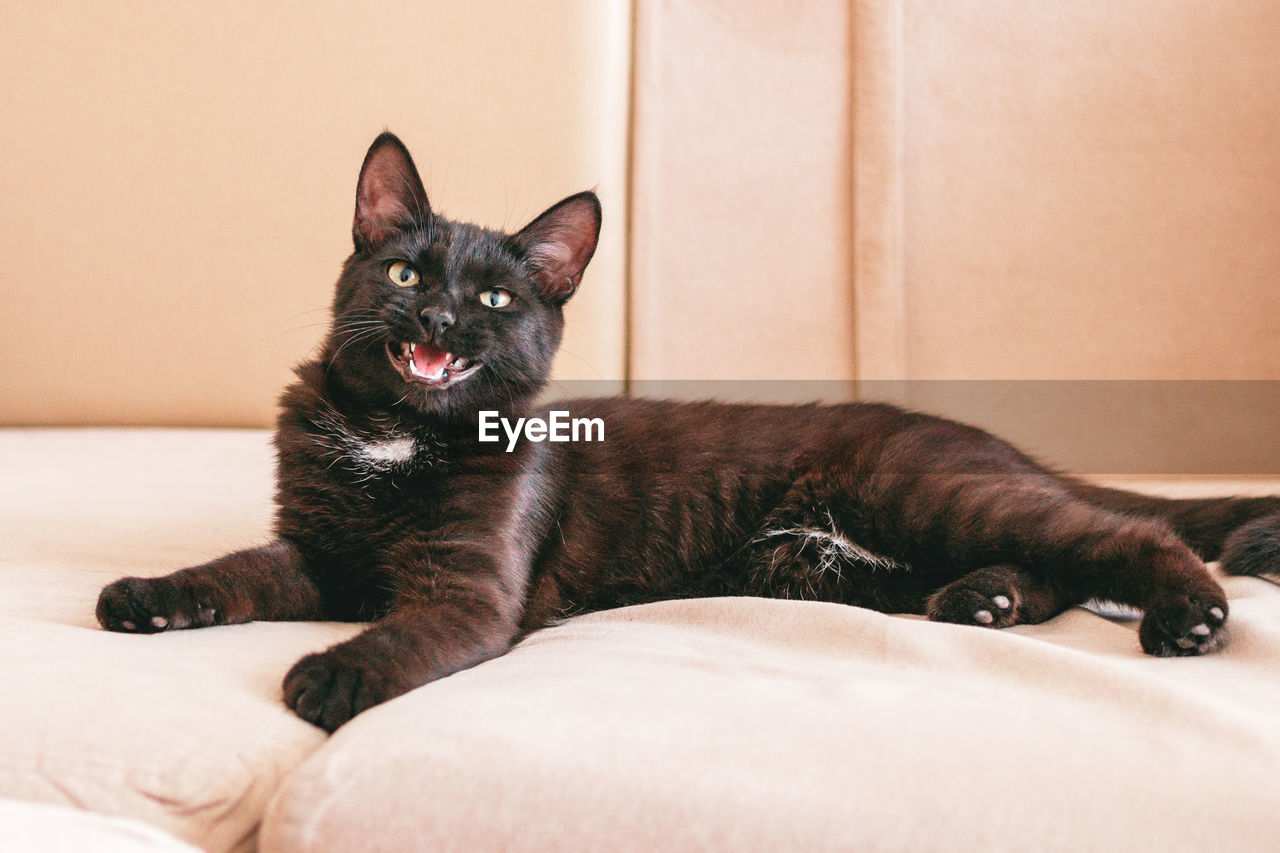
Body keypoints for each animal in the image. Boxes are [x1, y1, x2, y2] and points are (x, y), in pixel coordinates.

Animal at [97, 133, 1280, 732]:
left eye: (493, 300)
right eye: (402, 274)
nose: (435, 321)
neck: (397, 435)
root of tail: (989, 442)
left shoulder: (464, 591)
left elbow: (405, 633)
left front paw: (335, 677)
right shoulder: (320, 553)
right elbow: (238, 569)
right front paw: (150, 595)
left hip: (926, 492)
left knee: (1119, 537)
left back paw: (1184, 616)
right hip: (862, 555)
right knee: (1049, 562)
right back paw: (984, 600)